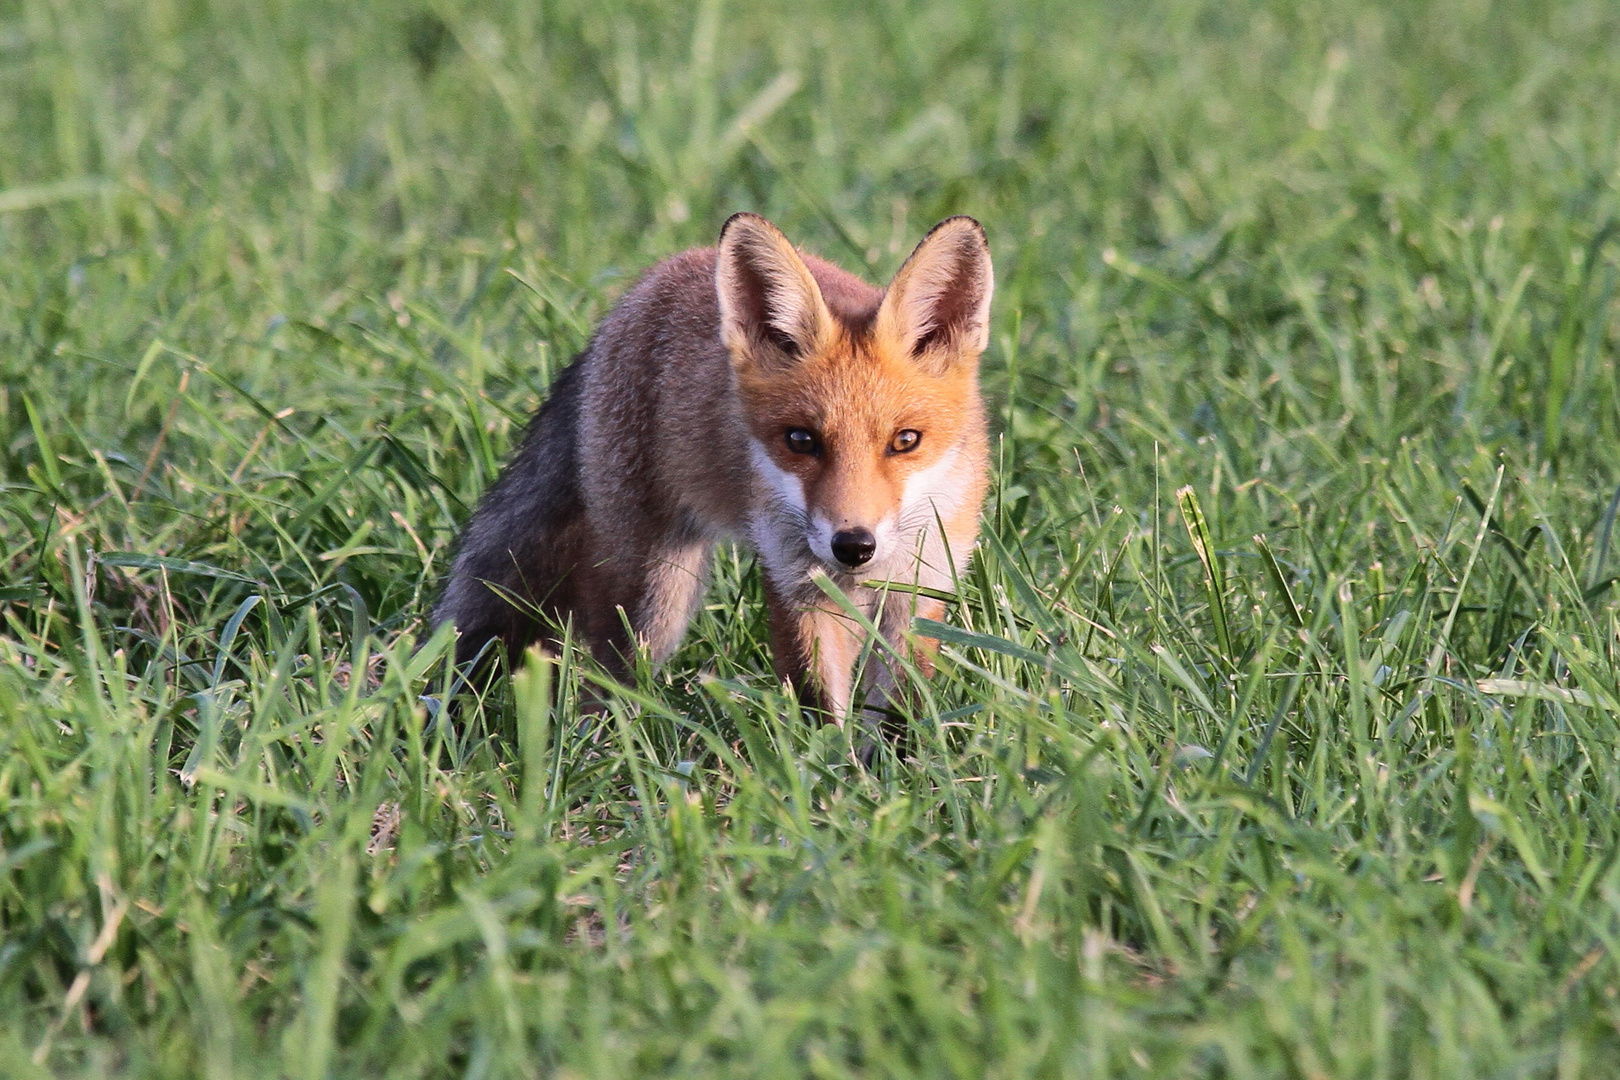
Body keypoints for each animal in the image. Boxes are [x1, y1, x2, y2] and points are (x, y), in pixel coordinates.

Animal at [434, 213, 984, 725]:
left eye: (905, 441)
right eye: (801, 440)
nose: (852, 545)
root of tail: (654, 279)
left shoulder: (923, 585)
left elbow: (900, 711)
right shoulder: (793, 582)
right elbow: (819, 705)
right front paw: (829, 763)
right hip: (653, 598)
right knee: (603, 684)